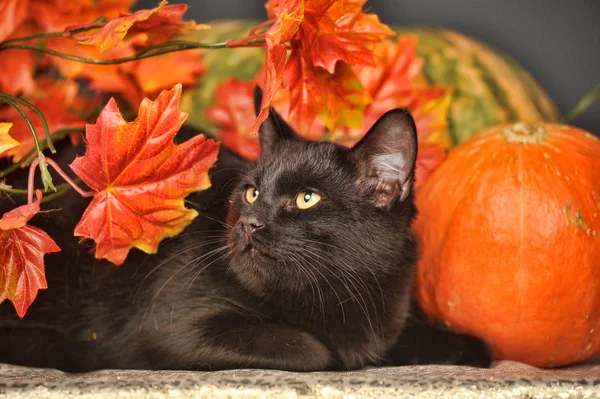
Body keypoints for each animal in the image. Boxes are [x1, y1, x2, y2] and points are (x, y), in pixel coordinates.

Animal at [0, 90, 490, 372]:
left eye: (307, 198)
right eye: (252, 193)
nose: (249, 223)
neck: (334, 295)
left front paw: (465, 348)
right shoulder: (166, 328)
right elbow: (311, 349)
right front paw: (338, 355)